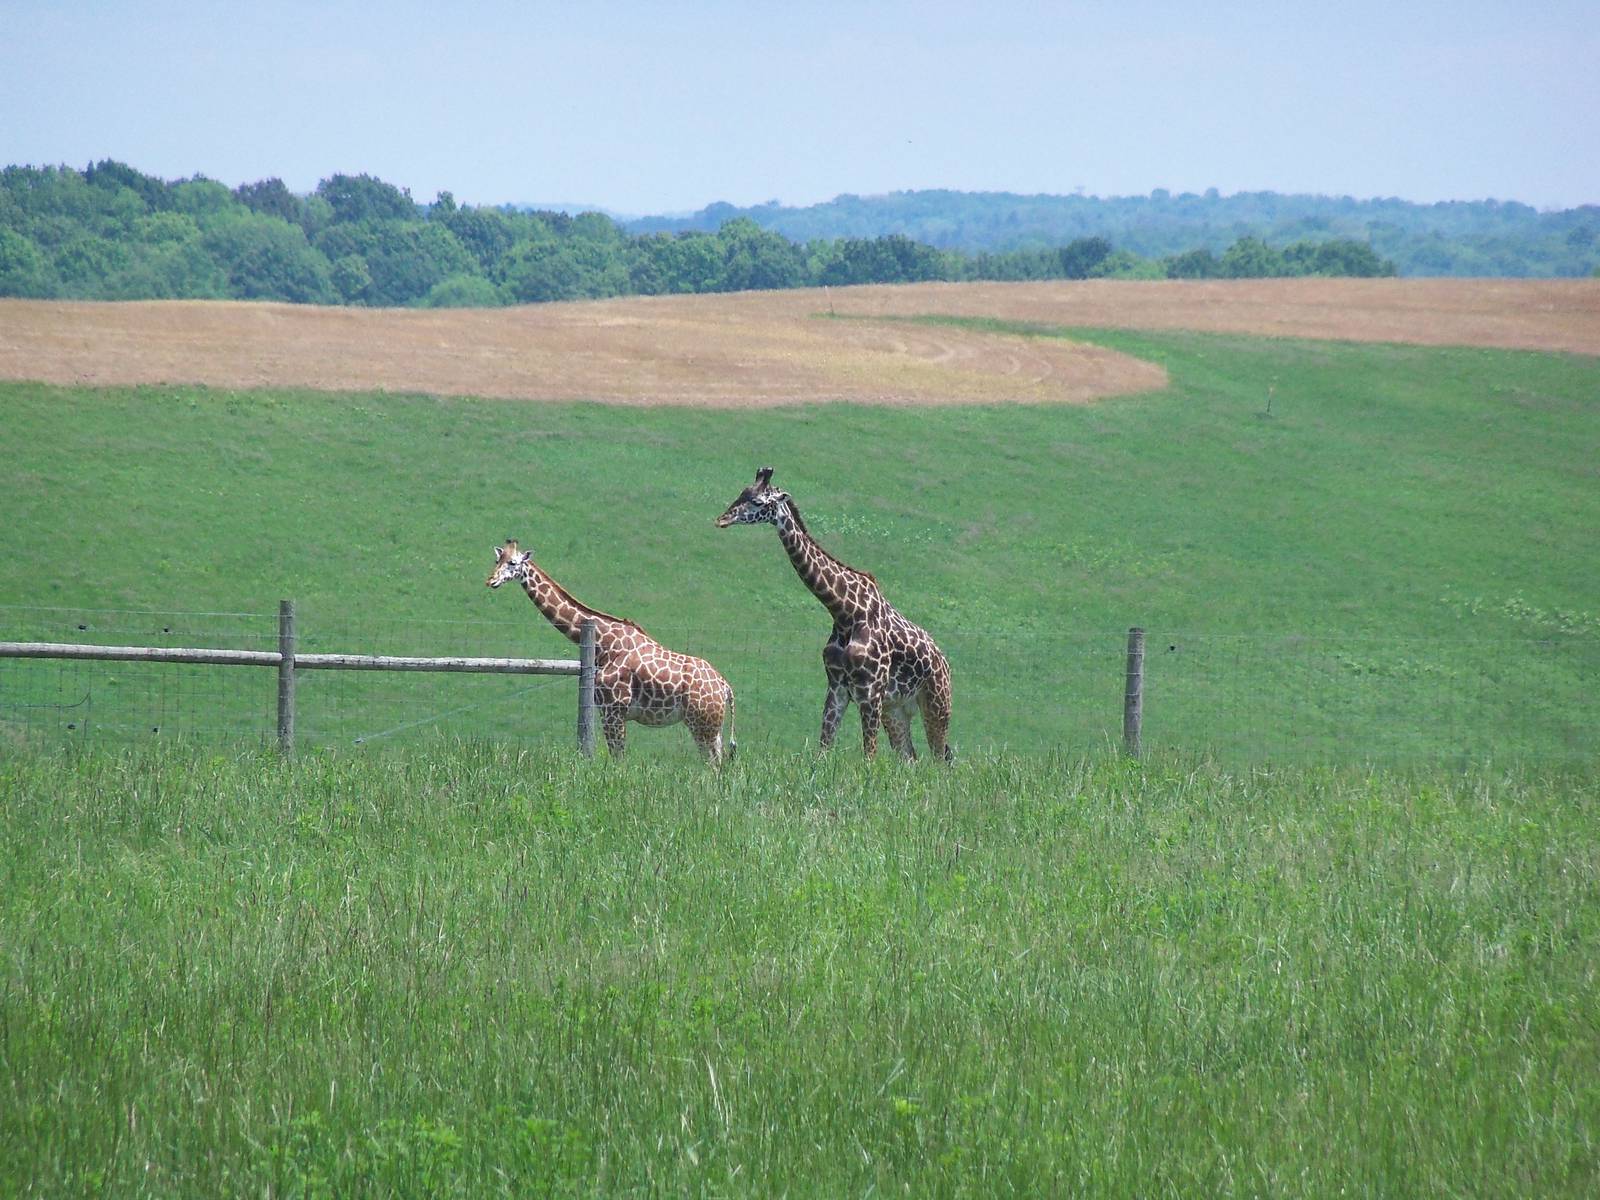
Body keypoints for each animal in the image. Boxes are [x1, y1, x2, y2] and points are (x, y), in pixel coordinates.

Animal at [487, 539, 736, 763]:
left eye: (513, 562)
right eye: (497, 560)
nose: (491, 580)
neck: (604, 643)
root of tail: (725, 688)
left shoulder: (613, 709)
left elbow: (618, 759)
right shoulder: (608, 710)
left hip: (702, 723)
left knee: (713, 763)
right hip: (712, 726)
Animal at [716, 467, 953, 762]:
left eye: (758, 502)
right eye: (741, 492)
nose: (722, 519)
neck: (844, 613)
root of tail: (944, 662)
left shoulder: (870, 692)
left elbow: (869, 757)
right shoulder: (837, 687)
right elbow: (823, 750)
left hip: (936, 703)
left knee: (941, 759)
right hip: (896, 707)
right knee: (910, 757)